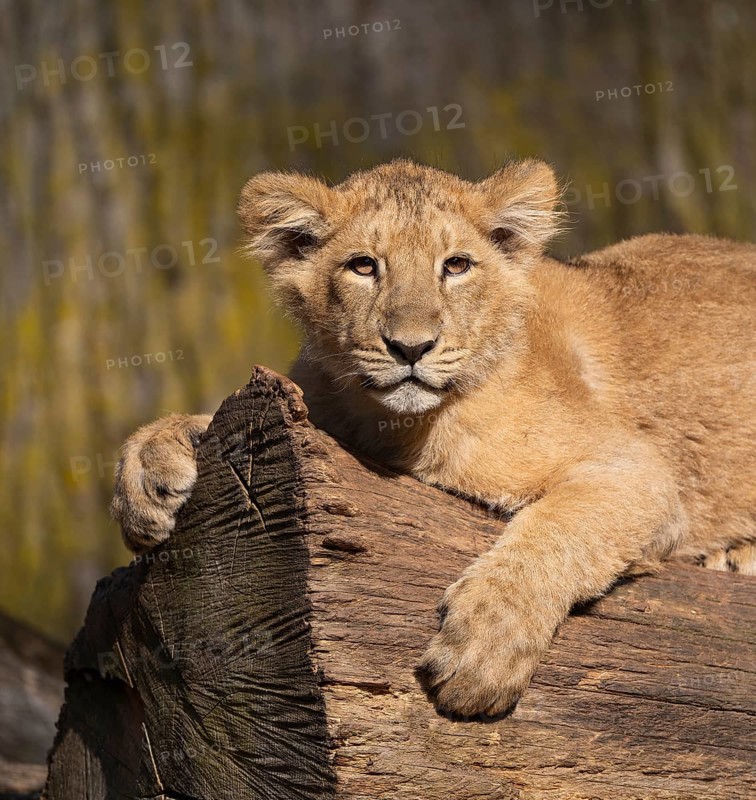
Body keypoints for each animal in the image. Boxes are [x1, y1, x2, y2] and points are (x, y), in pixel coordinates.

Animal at [111, 158, 756, 717]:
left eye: (457, 265)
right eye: (363, 266)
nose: (411, 347)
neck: (395, 424)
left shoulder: (637, 469)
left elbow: (554, 535)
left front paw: (484, 645)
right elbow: (205, 419)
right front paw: (147, 475)